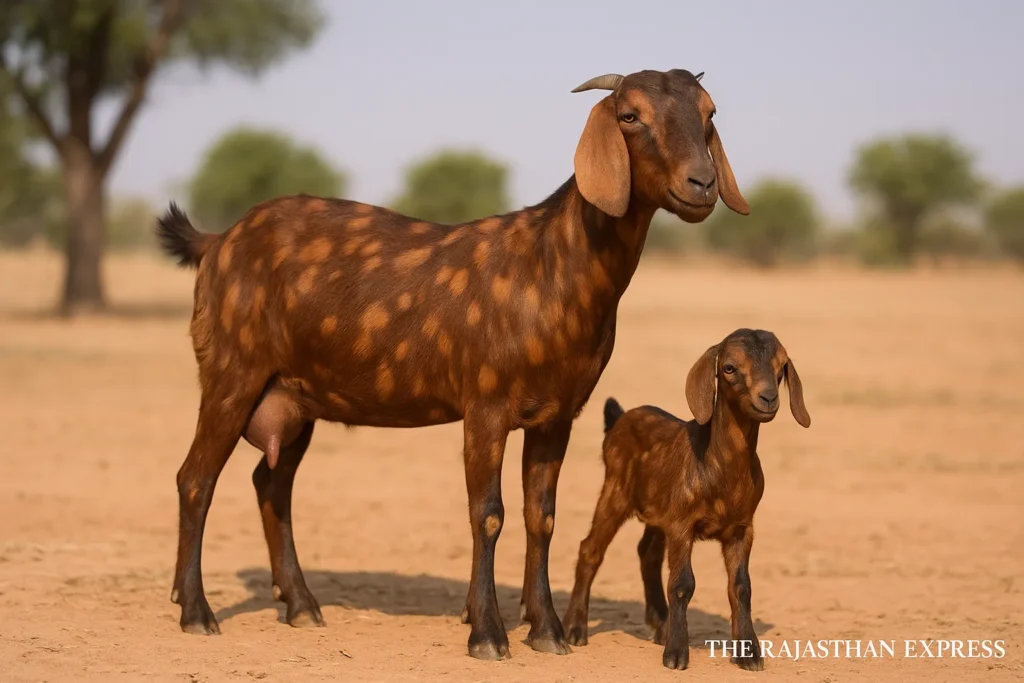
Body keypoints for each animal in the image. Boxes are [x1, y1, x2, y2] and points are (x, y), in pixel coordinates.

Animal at [156, 68, 749, 661]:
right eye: (630, 115)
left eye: (710, 113)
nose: (701, 183)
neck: (550, 267)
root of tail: (217, 241)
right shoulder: (485, 405)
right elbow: (487, 514)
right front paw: (487, 634)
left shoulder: (556, 415)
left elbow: (542, 518)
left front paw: (547, 630)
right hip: (232, 373)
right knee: (196, 478)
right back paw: (197, 612)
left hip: (295, 398)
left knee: (271, 484)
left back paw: (301, 605)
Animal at [562, 329, 811, 671]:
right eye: (729, 368)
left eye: (781, 366)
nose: (769, 398)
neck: (720, 468)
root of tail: (619, 418)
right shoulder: (682, 523)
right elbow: (682, 584)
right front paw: (677, 653)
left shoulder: (741, 528)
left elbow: (741, 586)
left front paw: (748, 653)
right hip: (615, 491)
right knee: (590, 549)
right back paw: (575, 629)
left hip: (657, 511)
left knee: (648, 553)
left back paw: (660, 624)